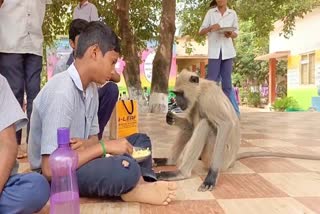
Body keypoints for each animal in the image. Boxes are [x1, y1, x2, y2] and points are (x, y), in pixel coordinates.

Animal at [156, 70, 320, 192]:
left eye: (180, 94)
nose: (177, 102)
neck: (200, 90)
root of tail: (231, 160)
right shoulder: (194, 102)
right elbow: (190, 126)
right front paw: (171, 118)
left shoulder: (208, 97)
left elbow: (225, 124)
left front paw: (212, 176)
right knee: (193, 126)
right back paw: (170, 162)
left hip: (218, 156)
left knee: (205, 124)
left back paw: (181, 173)